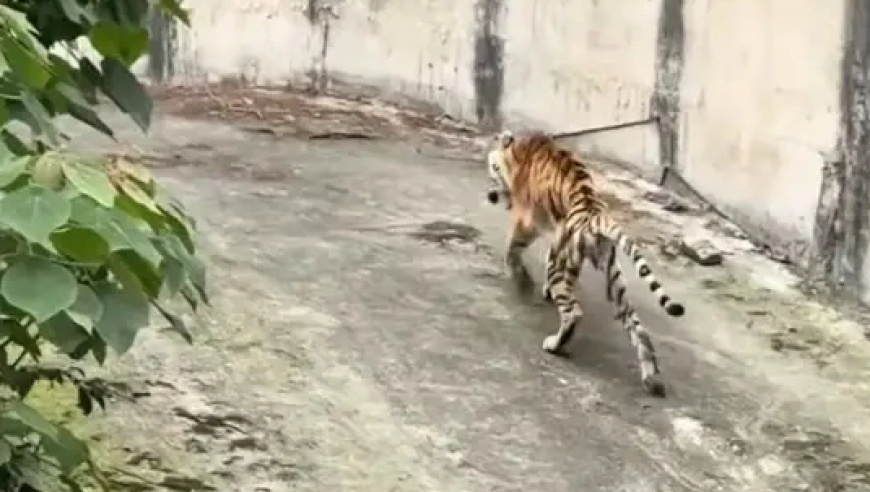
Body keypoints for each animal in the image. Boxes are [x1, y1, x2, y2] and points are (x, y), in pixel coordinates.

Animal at [484, 130, 685, 396]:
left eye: (492, 168)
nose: (491, 195)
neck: (518, 152)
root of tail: (594, 213)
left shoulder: (526, 221)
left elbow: (511, 249)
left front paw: (521, 280)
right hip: (613, 277)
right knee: (636, 324)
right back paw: (652, 378)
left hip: (563, 264)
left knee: (573, 313)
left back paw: (554, 345)